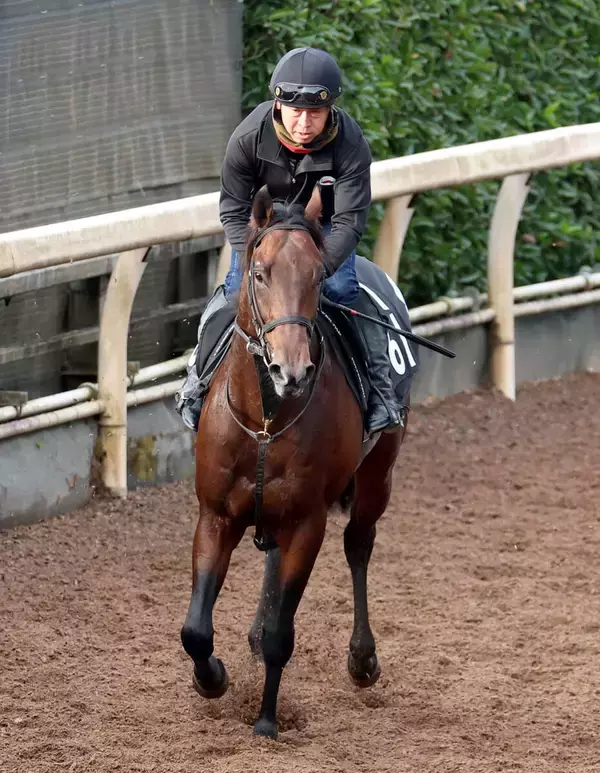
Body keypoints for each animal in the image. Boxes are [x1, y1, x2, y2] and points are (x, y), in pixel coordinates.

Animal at [180, 187, 408, 740]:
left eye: (318, 277)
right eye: (260, 272)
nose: (291, 369)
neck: (265, 419)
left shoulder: (308, 523)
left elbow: (284, 634)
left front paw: (266, 719)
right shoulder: (215, 515)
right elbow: (195, 629)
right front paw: (212, 678)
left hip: (378, 474)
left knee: (359, 546)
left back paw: (362, 660)